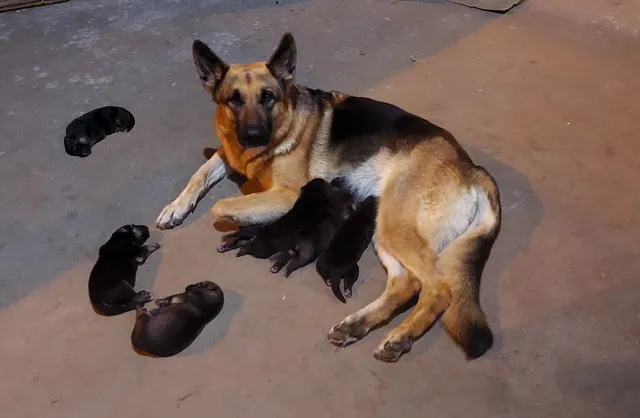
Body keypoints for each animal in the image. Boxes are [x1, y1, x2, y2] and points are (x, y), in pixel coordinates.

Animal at [155, 32, 500, 360]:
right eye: (233, 100)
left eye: (268, 97)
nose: (253, 136)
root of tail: (472, 169)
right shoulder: (228, 154)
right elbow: (200, 174)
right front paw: (175, 207)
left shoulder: (288, 194)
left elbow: (220, 205)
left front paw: (241, 224)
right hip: (382, 229)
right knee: (407, 283)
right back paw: (357, 326)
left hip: (395, 225)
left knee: (438, 289)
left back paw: (400, 337)